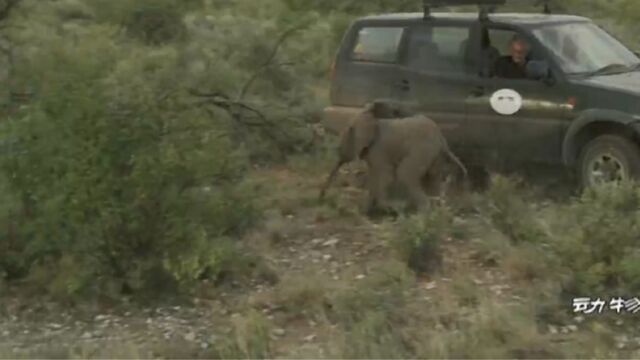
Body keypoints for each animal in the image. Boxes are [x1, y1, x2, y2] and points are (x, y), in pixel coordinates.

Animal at [318, 100, 464, 215]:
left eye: (349, 131)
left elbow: (385, 175)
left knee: (405, 173)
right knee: (431, 179)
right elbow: (374, 175)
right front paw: (366, 211)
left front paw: (387, 209)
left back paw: (420, 214)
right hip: (433, 155)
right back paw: (434, 211)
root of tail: (441, 139)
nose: (321, 197)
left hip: (421, 150)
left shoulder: (379, 149)